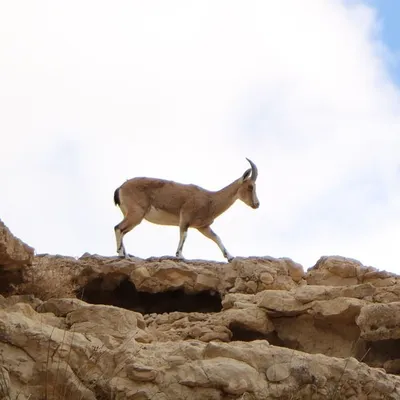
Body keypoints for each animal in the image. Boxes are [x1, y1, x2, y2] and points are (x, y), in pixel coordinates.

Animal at [114, 158, 260, 260]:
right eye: (250, 186)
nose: (257, 204)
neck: (210, 199)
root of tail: (120, 188)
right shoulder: (185, 218)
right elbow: (184, 235)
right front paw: (180, 255)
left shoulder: (203, 227)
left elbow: (216, 238)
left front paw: (230, 257)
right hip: (136, 214)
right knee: (118, 228)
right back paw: (121, 254)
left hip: (130, 214)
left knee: (122, 230)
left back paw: (125, 254)